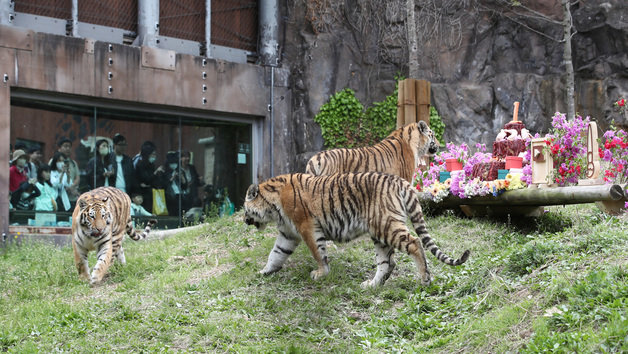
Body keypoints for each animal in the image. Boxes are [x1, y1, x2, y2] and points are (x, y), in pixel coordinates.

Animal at [243, 171, 468, 288]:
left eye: (245, 209)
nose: (244, 220)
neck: (273, 206)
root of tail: (400, 180)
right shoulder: (288, 234)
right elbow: (276, 254)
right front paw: (264, 271)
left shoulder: (306, 227)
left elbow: (318, 252)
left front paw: (321, 273)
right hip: (379, 232)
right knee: (387, 262)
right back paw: (372, 285)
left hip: (387, 224)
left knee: (414, 243)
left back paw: (425, 279)